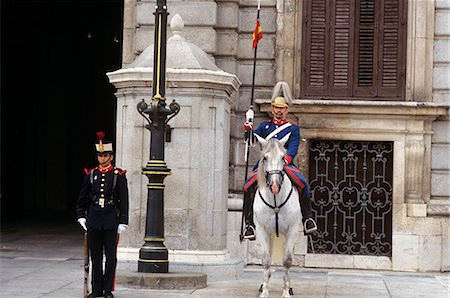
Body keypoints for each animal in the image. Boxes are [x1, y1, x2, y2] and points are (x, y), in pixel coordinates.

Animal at [255, 134, 300, 296]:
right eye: (265, 157)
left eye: (282, 157)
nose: (275, 186)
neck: (275, 200)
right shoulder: (261, 231)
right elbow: (266, 261)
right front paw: (265, 292)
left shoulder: (292, 231)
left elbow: (287, 261)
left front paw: (286, 292)